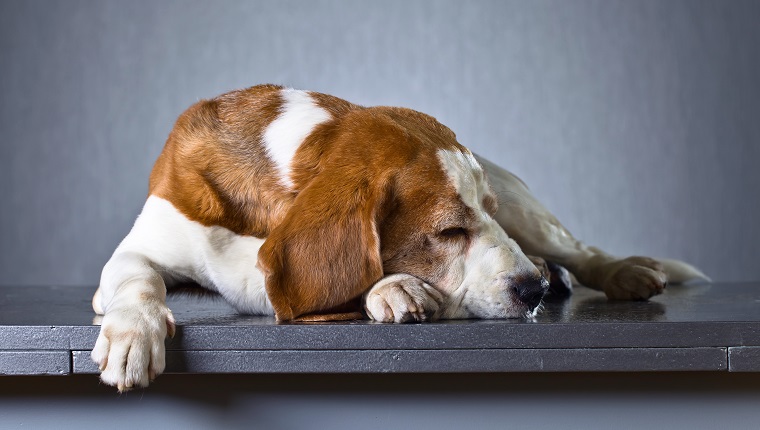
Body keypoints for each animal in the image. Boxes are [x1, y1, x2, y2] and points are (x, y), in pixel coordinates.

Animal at [90, 84, 708, 390]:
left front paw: (390, 287)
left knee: (580, 251)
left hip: (525, 207)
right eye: (450, 230)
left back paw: (616, 271)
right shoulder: (137, 250)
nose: (530, 291)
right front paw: (133, 333)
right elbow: (137, 281)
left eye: (485, 217)